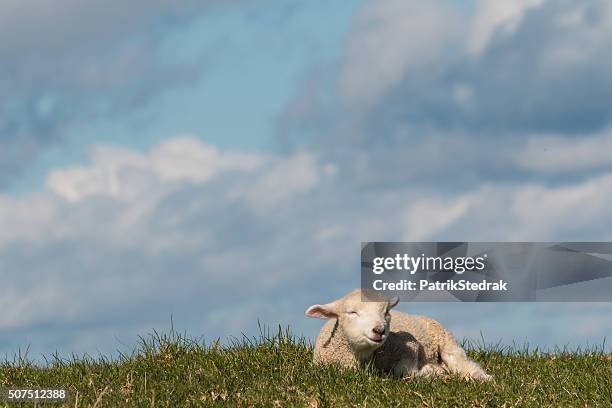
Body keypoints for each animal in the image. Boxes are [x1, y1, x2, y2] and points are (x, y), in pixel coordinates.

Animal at [306, 290, 492, 380]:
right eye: (352, 312)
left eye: (386, 312)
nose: (379, 330)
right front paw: (432, 371)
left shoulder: (411, 347)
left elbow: (405, 370)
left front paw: (429, 372)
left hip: (446, 340)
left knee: (461, 363)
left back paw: (480, 377)